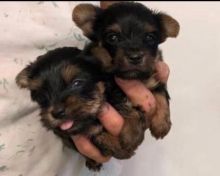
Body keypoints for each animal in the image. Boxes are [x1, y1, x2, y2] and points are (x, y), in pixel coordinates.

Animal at [15, 46, 146, 170]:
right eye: (41, 95)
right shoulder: (65, 135)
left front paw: (131, 136)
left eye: (77, 83)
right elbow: (95, 135)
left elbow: (131, 110)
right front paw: (119, 149)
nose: (57, 112)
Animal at [73, 1, 180, 139]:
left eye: (150, 37)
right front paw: (132, 134)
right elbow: (127, 106)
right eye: (112, 38)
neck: (134, 77)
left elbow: (161, 94)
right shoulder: (109, 92)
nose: (135, 57)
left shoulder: (155, 77)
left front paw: (161, 123)